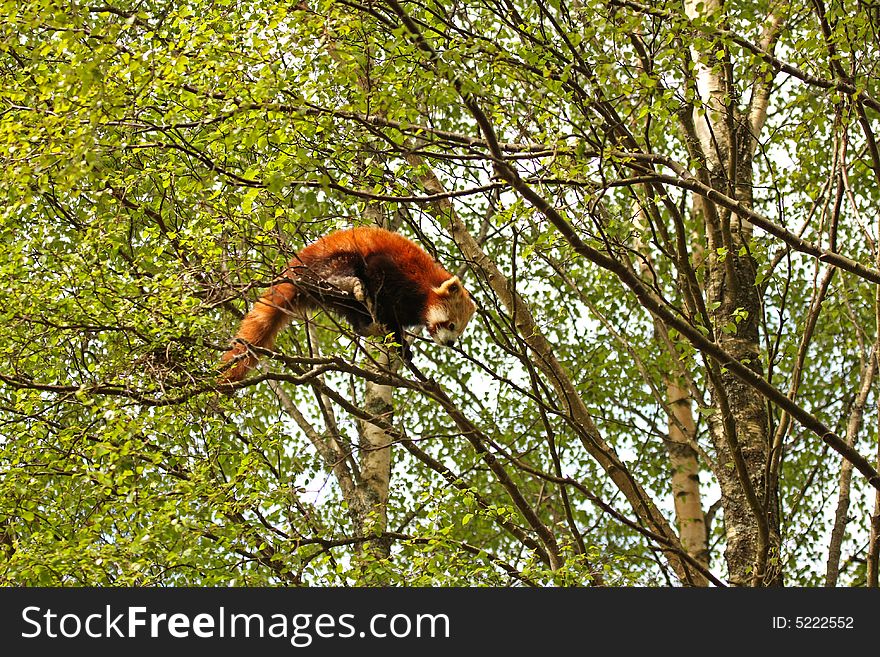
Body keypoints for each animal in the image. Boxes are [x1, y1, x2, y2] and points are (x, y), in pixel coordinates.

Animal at [223, 226, 478, 382]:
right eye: (451, 324)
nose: (450, 342)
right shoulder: (394, 269)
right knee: (339, 271)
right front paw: (398, 341)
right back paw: (351, 284)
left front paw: (398, 342)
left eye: (459, 331)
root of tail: (295, 264)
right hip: (330, 259)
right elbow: (380, 289)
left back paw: (367, 326)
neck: (425, 289)